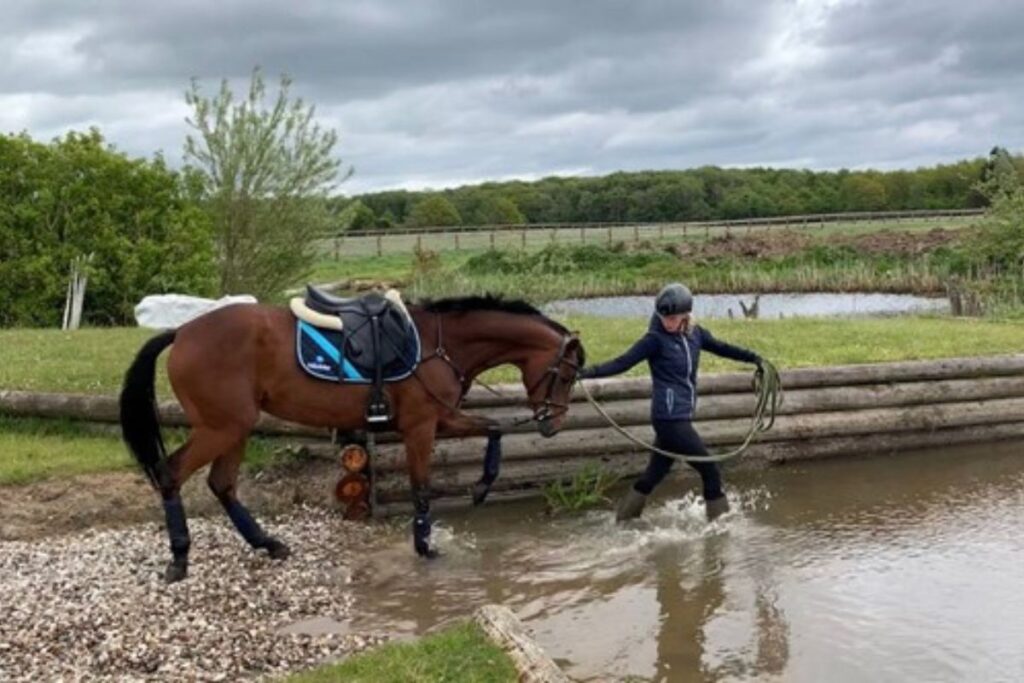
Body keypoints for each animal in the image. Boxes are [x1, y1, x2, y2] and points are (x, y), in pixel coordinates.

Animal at [119, 294, 585, 581]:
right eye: (564, 375)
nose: (553, 423)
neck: (442, 344)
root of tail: (182, 332)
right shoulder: (421, 427)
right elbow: (421, 489)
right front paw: (425, 547)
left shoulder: (442, 419)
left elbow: (494, 429)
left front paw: (482, 486)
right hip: (222, 427)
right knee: (171, 473)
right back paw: (180, 557)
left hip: (235, 427)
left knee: (222, 484)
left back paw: (268, 543)